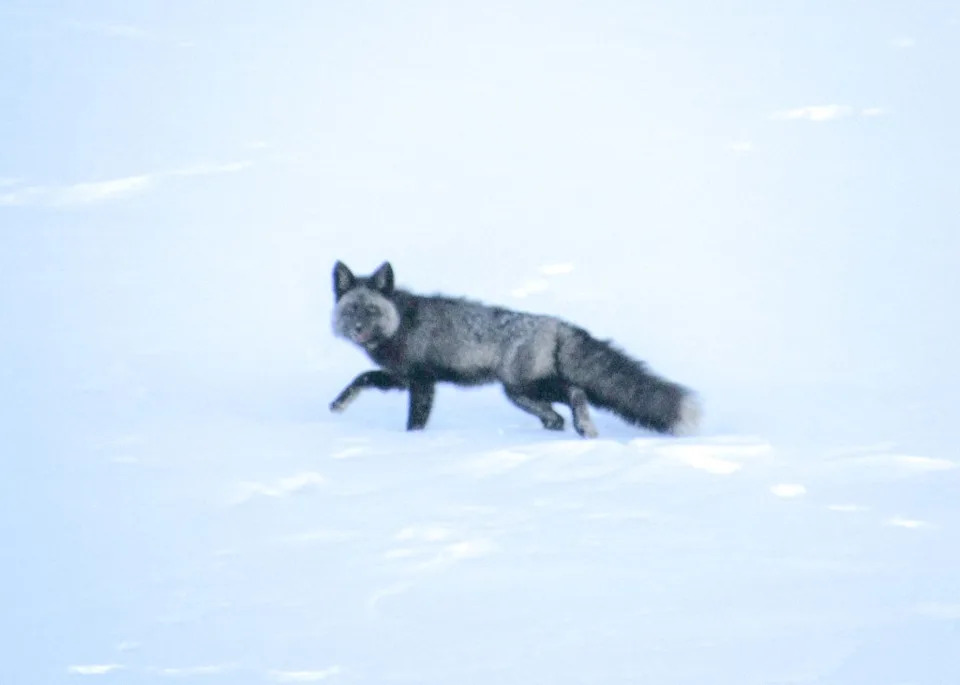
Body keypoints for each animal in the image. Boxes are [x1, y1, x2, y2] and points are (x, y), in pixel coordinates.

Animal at [329, 260, 700, 438]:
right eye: (352, 310)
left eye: (371, 310)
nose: (358, 330)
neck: (400, 324)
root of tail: (556, 323)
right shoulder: (400, 378)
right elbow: (363, 378)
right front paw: (338, 404)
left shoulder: (422, 382)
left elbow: (415, 420)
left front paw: (412, 442)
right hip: (519, 393)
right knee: (557, 414)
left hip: (525, 386)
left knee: (575, 391)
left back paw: (584, 427)